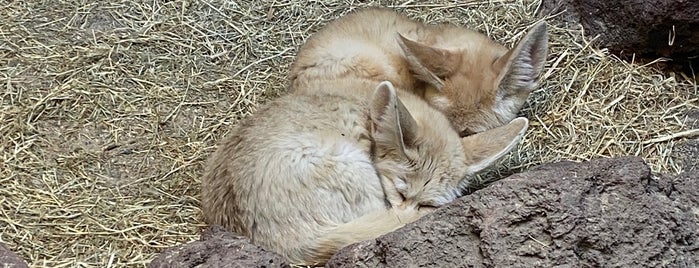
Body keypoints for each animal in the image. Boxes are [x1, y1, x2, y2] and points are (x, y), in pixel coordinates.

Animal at [200, 80, 528, 266]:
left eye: (426, 204)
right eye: (399, 192)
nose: (406, 219)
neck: (367, 106)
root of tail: (282, 242)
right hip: (350, 164)